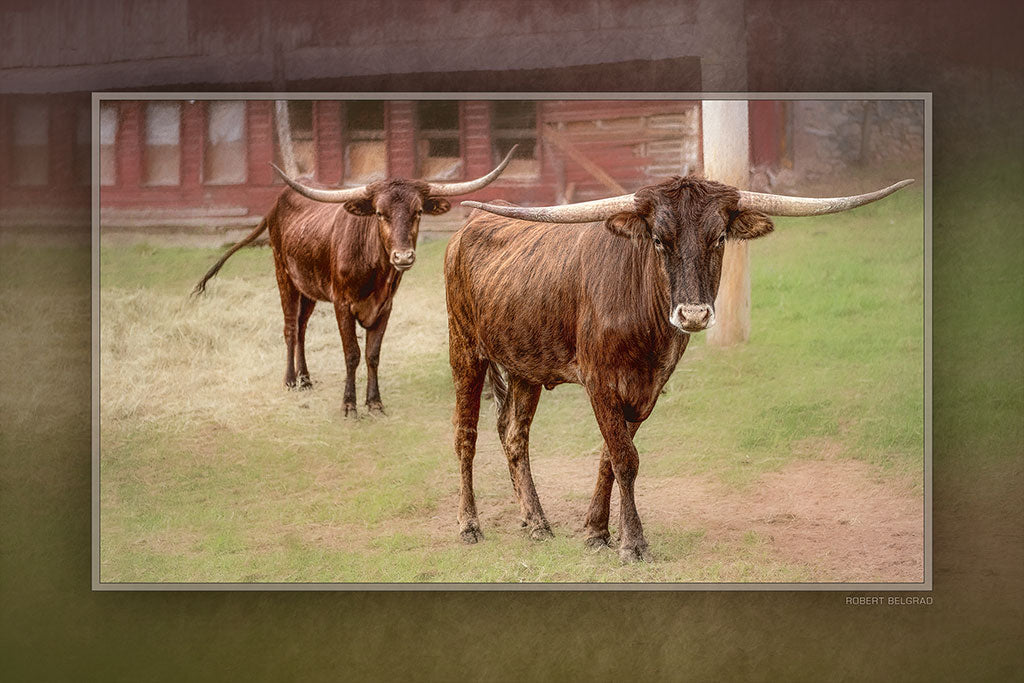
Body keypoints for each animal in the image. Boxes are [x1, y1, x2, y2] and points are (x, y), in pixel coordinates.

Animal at [197, 148, 520, 417]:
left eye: (417, 211)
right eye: (379, 213)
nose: (403, 256)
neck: (373, 271)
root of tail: (277, 203)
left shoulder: (385, 306)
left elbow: (373, 354)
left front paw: (374, 402)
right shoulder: (342, 305)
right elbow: (351, 354)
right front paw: (349, 404)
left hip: (308, 287)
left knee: (301, 327)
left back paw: (305, 378)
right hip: (283, 273)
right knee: (290, 327)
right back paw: (290, 380)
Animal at [446, 175, 913, 561]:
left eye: (720, 237)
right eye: (657, 239)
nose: (693, 314)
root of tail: (469, 226)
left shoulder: (647, 389)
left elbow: (610, 457)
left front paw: (597, 531)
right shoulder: (600, 382)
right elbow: (625, 459)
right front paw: (633, 543)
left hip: (526, 366)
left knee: (514, 436)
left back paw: (536, 522)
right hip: (464, 349)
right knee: (466, 436)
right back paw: (469, 525)